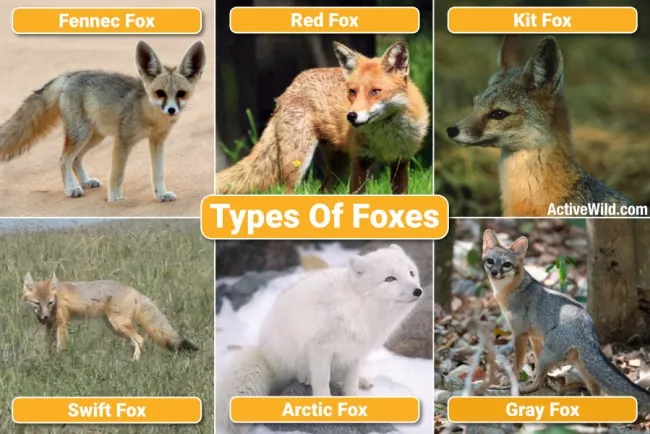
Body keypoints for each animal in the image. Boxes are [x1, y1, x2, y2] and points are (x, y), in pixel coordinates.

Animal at [0, 40, 206, 203]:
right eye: (160, 93)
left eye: (181, 94)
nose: (171, 110)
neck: (151, 117)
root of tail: (69, 76)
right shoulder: (123, 140)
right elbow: (117, 174)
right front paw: (115, 199)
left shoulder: (157, 141)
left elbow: (159, 173)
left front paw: (161, 194)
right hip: (81, 134)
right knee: (64, 159)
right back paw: (71, 188)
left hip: (95, 137)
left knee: (76, 159)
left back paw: (85, 182)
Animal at [22, 272, 198, 360]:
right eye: (37, 303)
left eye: (50, 303)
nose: (44, 317)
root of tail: (134, 290)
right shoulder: (50, 327)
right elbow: (49, 347)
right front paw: (49, 360)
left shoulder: (62, 324)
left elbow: (61, 347)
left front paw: (60, 362)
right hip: (115, 328)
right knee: (136, 341)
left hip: (118, 325)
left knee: (140, 340)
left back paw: (135, 361)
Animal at [215, 244, 424, 434]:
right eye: (390, 279)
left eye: (411, 273)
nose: (418, 291)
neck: (360, 308)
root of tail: (265, 353)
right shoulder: (320, 347)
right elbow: (323, 379)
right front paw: (325, 404)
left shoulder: (355, 352)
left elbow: (350, 379)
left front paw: (354, 397)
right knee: (299, 373)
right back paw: (305, 376)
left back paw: (362, 380)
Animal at [216, 40, 429, 195]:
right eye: (352, 92)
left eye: (375, 92)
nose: (351, 116)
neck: (386, 138)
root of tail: (291, 85)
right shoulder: (360, 160)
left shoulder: (401, 163)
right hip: (299, 162)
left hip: (339, 168)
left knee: (323, 190)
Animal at [482, 229, 650, 416]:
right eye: (490, 261)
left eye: (506, 264)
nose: (494, 272)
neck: (509, 291)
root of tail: (587, 329)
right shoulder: (534, 336)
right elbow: (535, 363)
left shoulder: (520, 334)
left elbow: (519, 364)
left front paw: (512, 380)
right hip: (580, 366)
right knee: (596, 390)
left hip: (551, 356)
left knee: (537, 384)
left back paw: (522, 389)